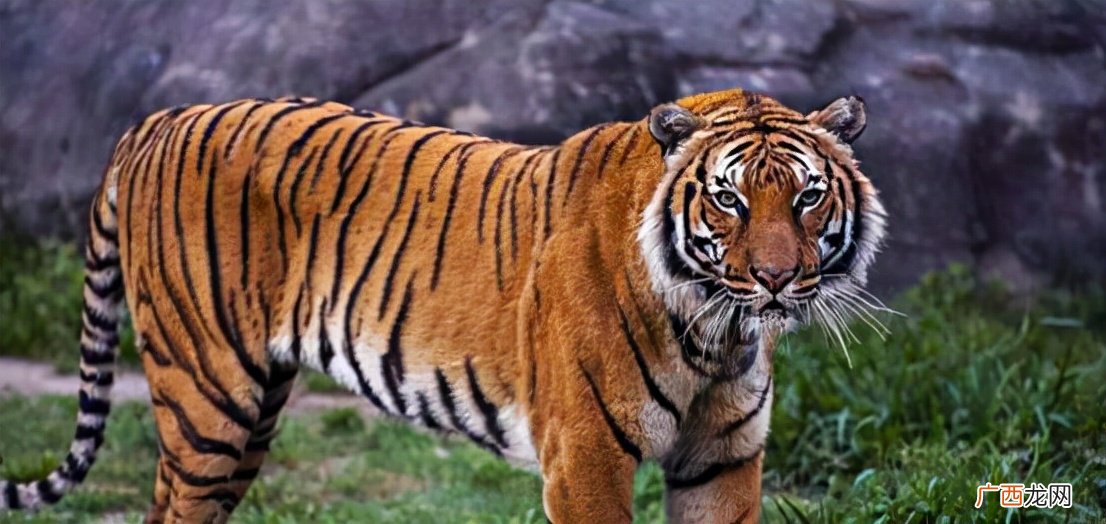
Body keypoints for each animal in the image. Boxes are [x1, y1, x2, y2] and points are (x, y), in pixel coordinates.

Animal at [0, 88, 885, 523]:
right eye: (729, 200)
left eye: (807, 196)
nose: (776, 280)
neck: (715, 329)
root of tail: (158, 118)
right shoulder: (585, 459)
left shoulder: (721, 461)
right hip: (207, 397)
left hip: (247, 417)